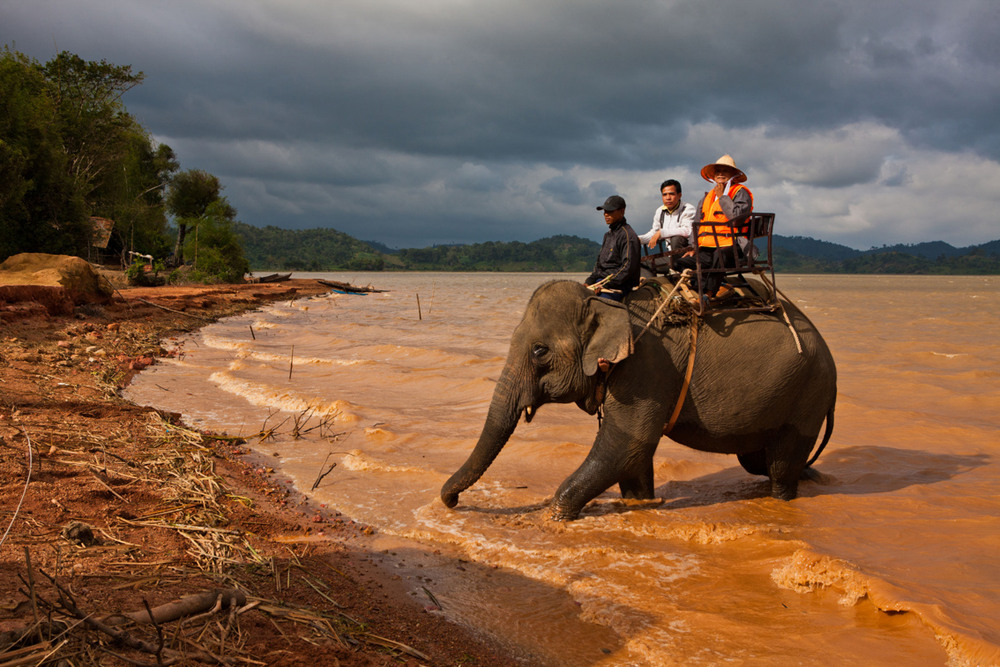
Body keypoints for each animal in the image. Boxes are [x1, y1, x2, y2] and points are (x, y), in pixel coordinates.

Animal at [438, 276, 836, 520]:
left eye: (539, 351)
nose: (452, 502)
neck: (606, 303)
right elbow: (634, 454)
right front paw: (640, 502)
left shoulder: (648, 366)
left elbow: (627, 444)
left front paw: (555, 516)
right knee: (757, 460)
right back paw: (811, 475)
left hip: (807, 396)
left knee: (781, 467)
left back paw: (784, 495)